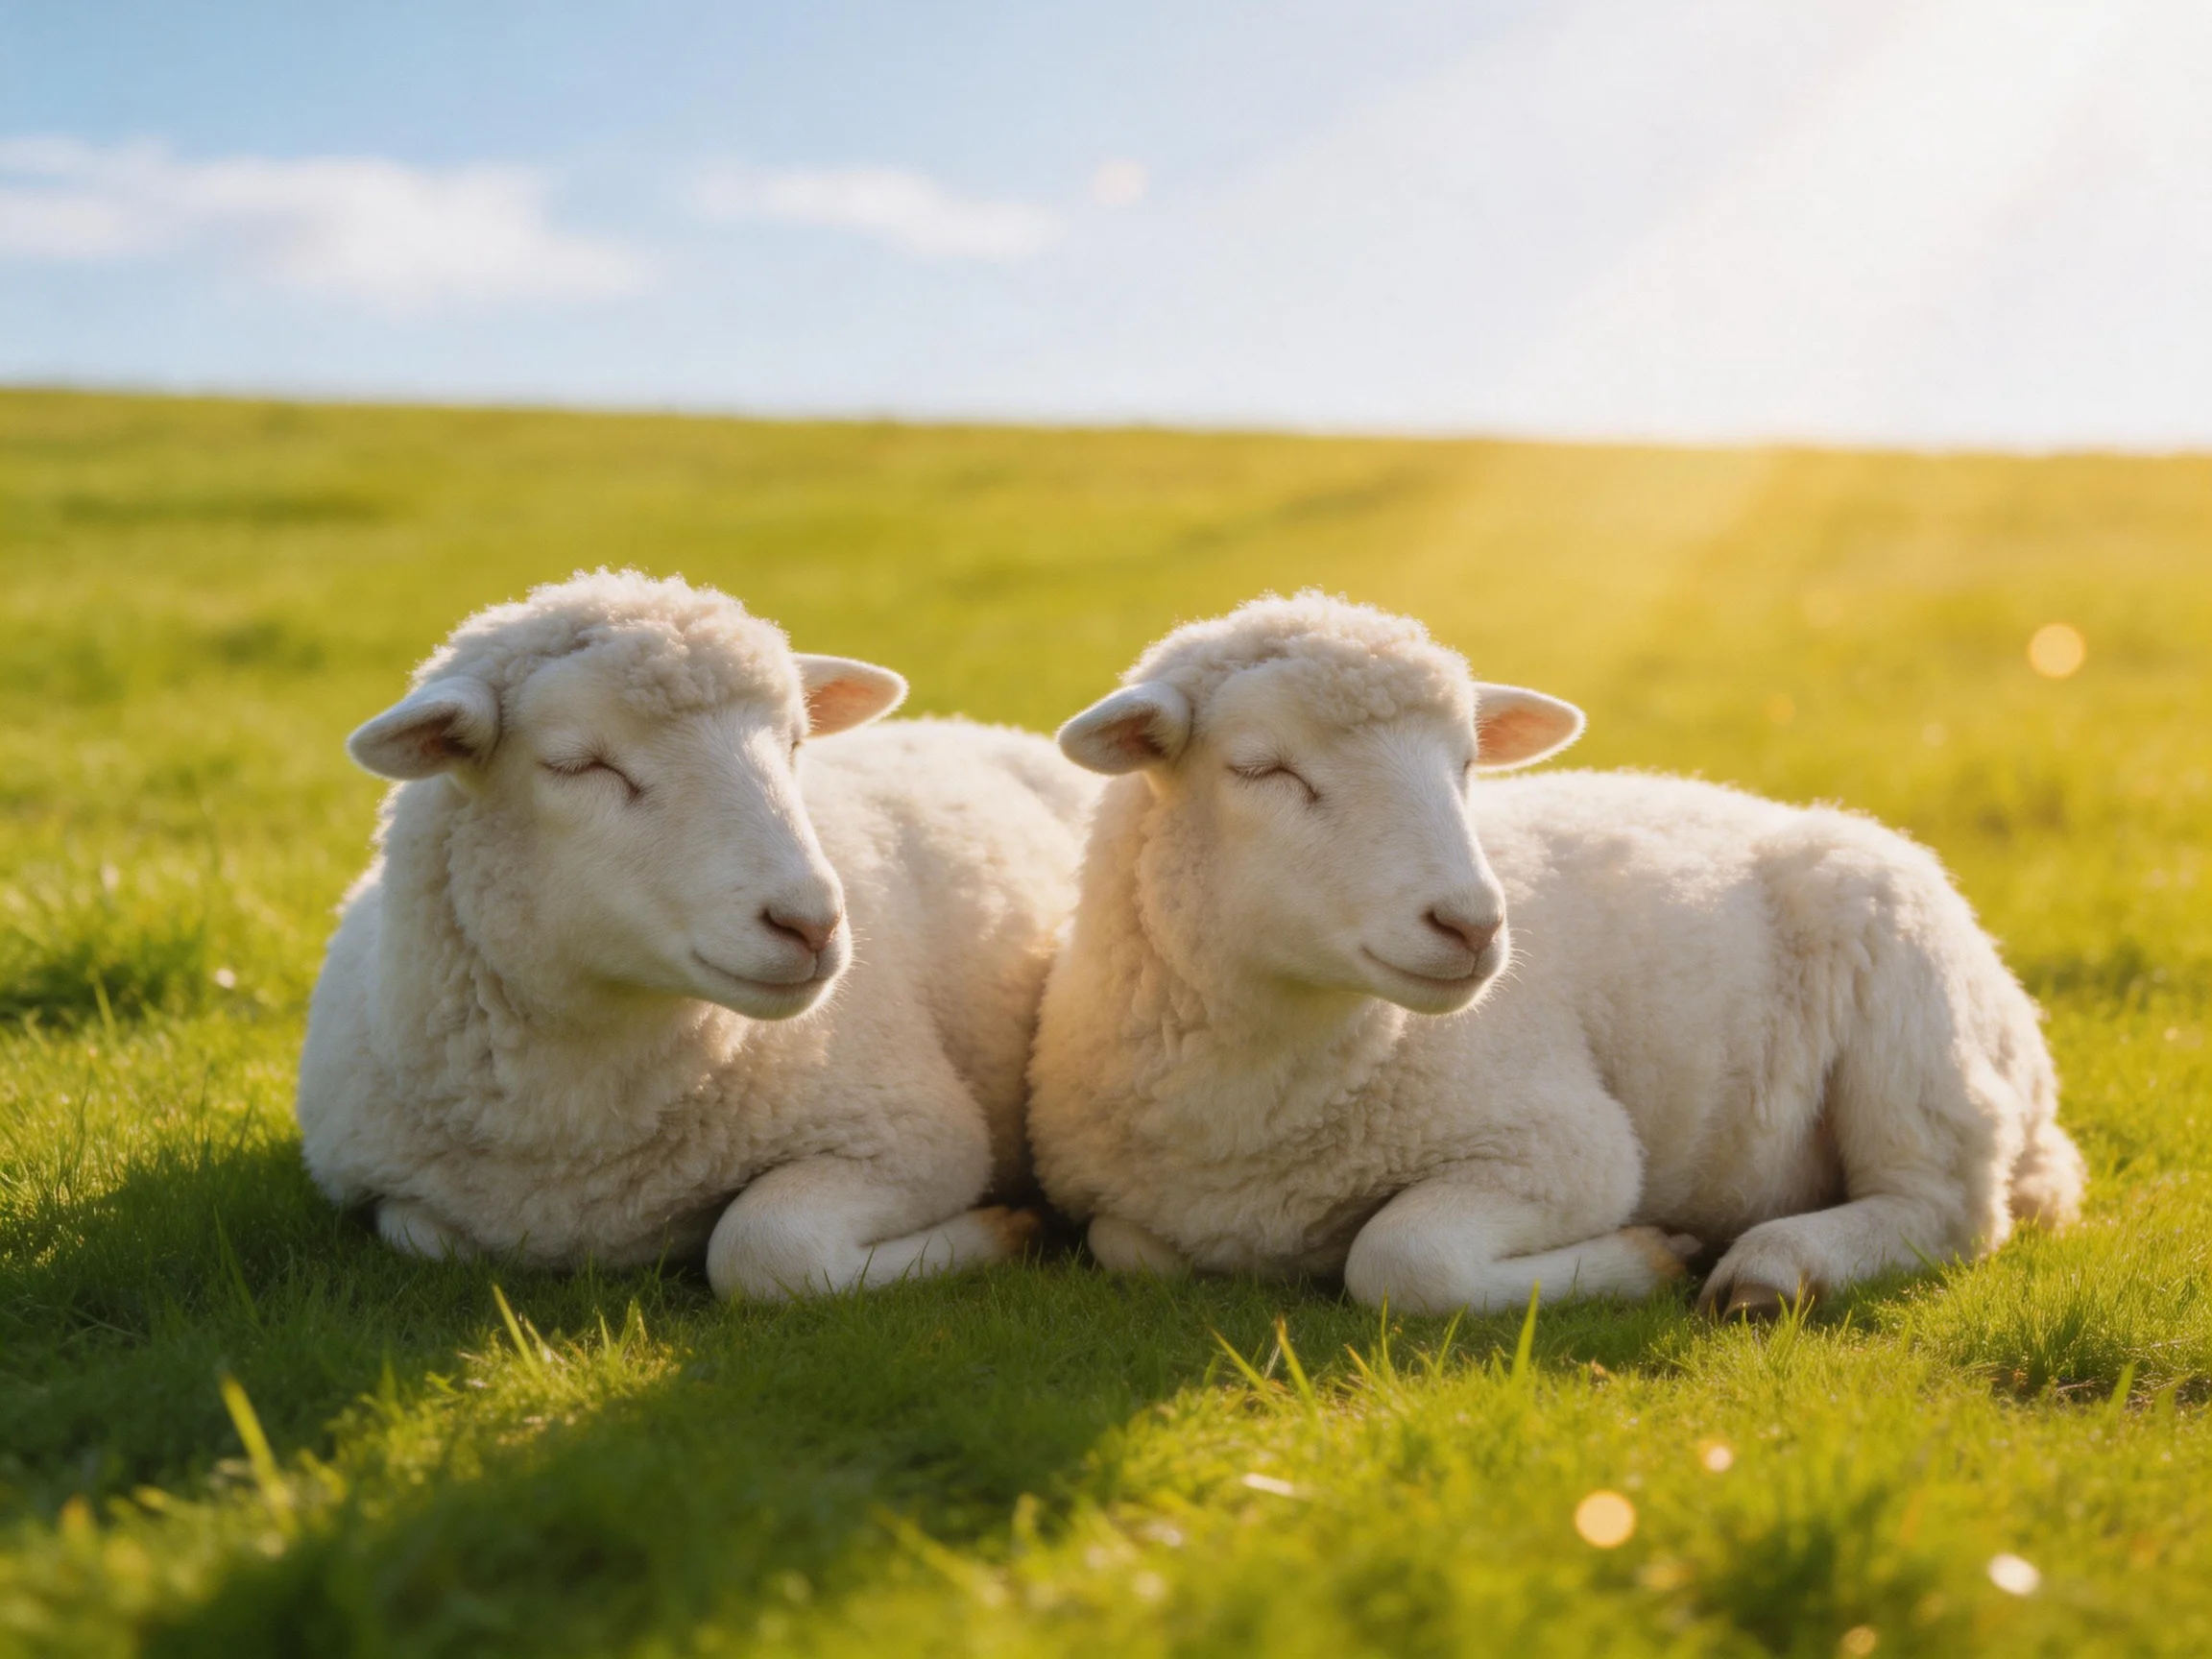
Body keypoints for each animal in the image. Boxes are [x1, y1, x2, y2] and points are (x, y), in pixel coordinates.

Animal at [296, 570, 1101, 1299]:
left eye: (796, 742)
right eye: (579, 764)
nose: (811, 922)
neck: (573, 1145)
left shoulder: (917, 1135)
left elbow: (761, 1247)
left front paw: (1007, 1228)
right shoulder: (399, 1191)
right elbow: (424, 1235)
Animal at [1027, 592, 2083, 1318]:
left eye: (1466, 765)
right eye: (1262, 769)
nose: (1473, 924)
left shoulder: (1565, 1147)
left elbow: (1403, 1263)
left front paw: (1648, 1256)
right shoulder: (1127, 1207)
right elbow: (1126, 1246)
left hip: (1912, 1034)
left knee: (1944, 1207)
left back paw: (1775, 1267)